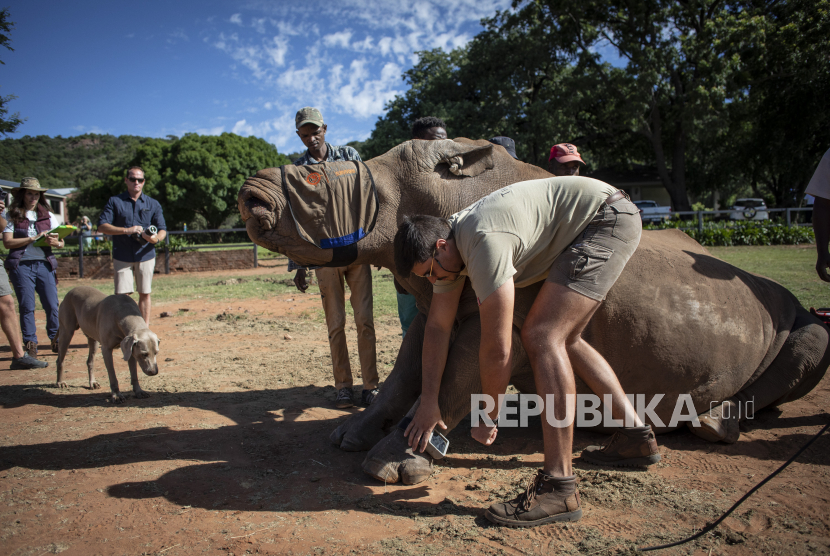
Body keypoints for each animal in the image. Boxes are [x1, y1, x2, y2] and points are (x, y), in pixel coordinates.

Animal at [237, 140, 828, 486]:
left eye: (321, 183)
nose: (250, 196)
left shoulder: (499, 299)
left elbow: (456, 375)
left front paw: (392, 464)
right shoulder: (438, 295)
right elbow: (409, 370)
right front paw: (351, 437)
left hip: (792, 311)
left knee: (814, 340)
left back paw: (708, 424)